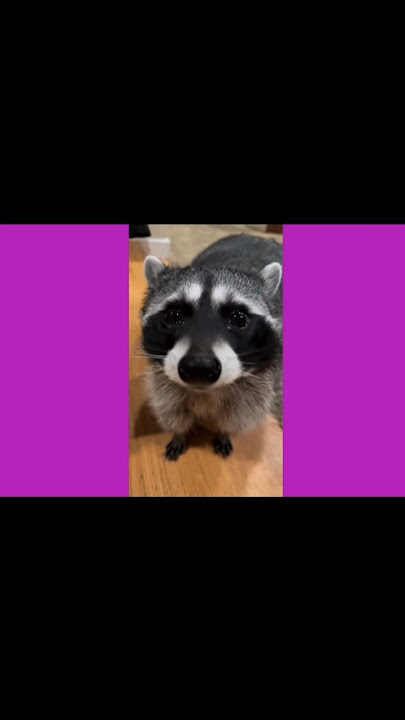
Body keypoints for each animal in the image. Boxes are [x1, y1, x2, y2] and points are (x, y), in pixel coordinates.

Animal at [140, 234, 283, 460]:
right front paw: (179, 434)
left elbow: (240, 413)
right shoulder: (163, 382)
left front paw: (224, 432)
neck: (205, 393)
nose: (199, 366)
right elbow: (170, 407)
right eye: (173, 316)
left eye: (239, 318)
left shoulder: (257, 384)